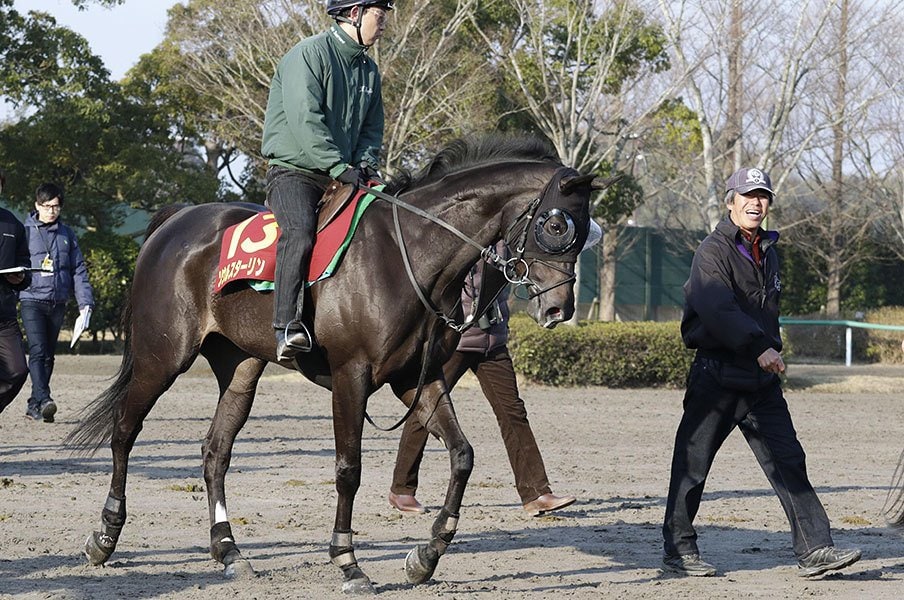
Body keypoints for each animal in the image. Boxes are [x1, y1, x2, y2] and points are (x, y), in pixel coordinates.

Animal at [69, 137, 608, 596]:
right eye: (557, 225)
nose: (558, 309)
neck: (409, 254)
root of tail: (176, 219)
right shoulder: (353, 378)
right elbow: (349, 469)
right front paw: (348, 562)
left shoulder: (416, 380)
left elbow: (462, 455)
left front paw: (427, 555)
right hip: (162, 358)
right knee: (125, 430)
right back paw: (105, 536)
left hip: (240, 369)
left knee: (215, 452)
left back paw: (228, 550)